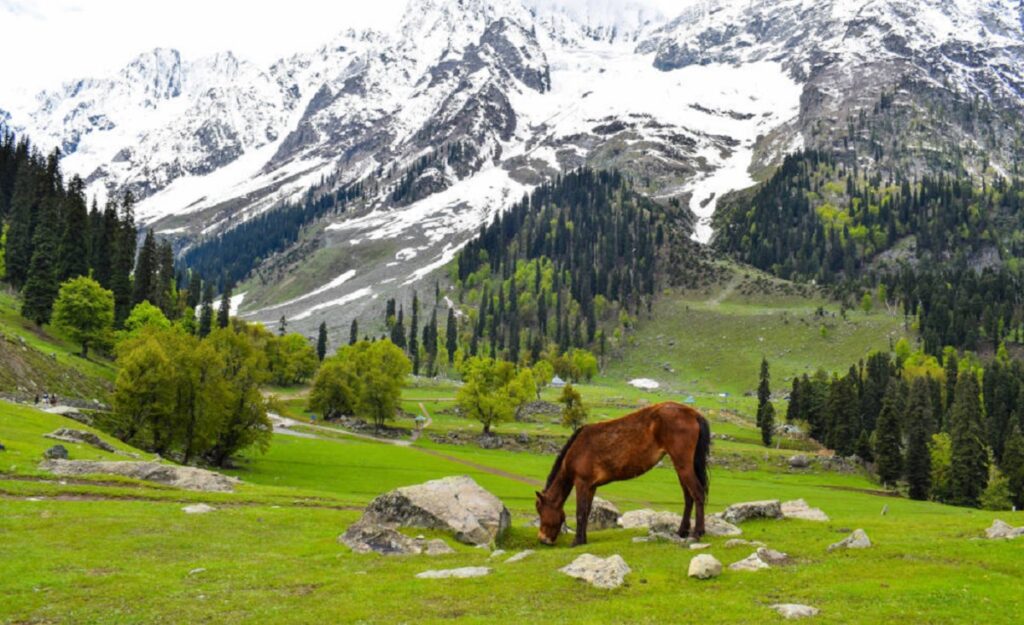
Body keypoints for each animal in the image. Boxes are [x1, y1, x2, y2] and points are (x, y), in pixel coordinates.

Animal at [536, 399, 712, 545]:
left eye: (540, 510)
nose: (542, 539)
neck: (577, 449)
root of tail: (693, 413)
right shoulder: (591, 486)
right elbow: (586, 512)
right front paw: (583, 539)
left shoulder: (582, 483)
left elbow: (580, 511)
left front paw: (577, 541)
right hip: (681, 467)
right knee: (688, 497)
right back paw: (682, 531)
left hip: (683, 465)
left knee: (698, 493)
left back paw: (697, 533)